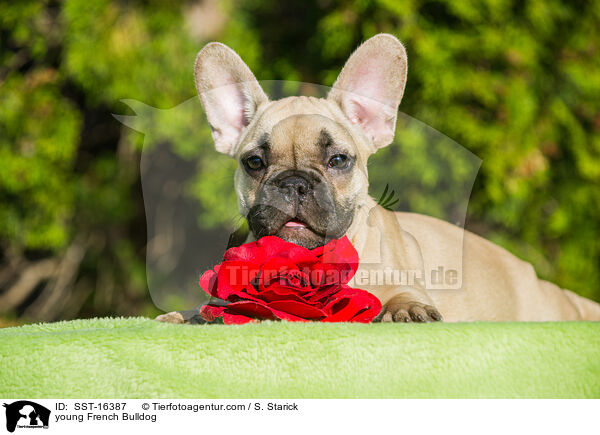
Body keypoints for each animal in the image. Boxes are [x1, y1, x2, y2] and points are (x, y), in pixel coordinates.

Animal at [156, 33, 600, 324]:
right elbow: (211, 309)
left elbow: (403, 294)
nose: (294, 183)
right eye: (254, 162)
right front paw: (185, 315)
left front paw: (406, 309)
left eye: (338, 160)